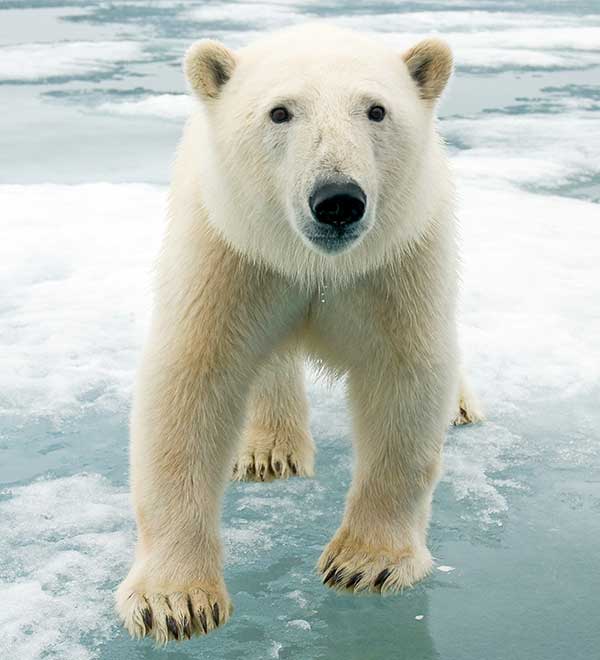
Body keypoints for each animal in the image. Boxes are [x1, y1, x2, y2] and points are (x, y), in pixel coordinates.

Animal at [116, 23, 482, 640]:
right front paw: (175, 600)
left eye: (376, 110)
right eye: (280, 112)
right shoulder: (233, 254)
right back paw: (269, 450)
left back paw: (459, 405)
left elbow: (405, 380)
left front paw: (366, 562)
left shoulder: (396, 263)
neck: (317, 264)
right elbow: (190, 382)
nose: (337, 201)